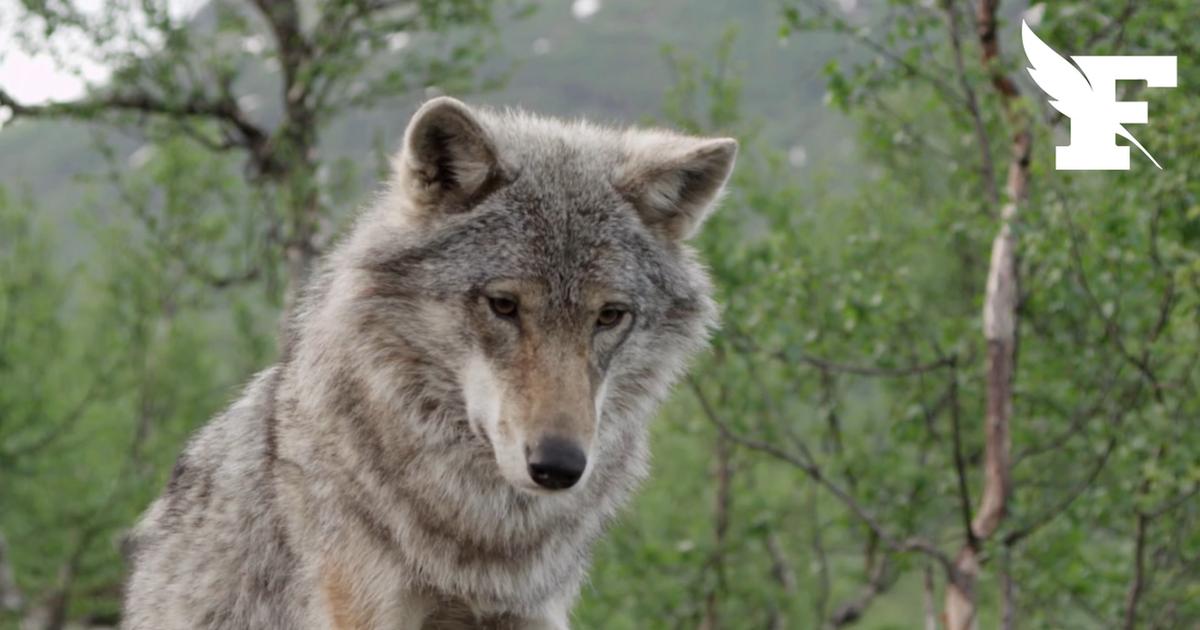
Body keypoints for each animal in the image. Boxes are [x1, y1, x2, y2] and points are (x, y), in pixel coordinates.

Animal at [121, 96, 736, 629]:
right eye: (503, 305)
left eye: (609, 316)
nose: (560, 466)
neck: (485, 538)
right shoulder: (366, 608)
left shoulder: (533, 612)